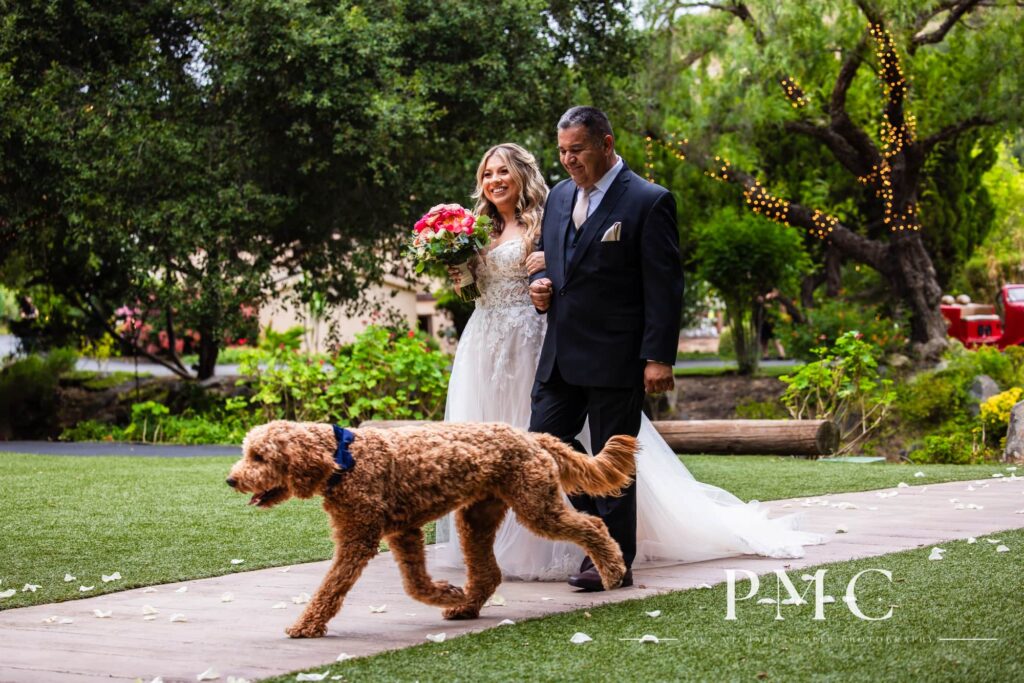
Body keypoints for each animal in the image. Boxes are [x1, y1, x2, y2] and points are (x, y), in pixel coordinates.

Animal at [228, 419, 634, 638]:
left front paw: (306, 626)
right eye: (247, 453)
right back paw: (465, 606)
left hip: (536, 505)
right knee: (488, 573)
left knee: (592, 524)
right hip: (478, 517)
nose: (231, 479)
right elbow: (415, 584)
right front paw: (448, 593)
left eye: (259, 456)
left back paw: (613, 570)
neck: (344, 459)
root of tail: (531, 436)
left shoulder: (359, 538)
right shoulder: (403, 533)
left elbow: (331, 587)